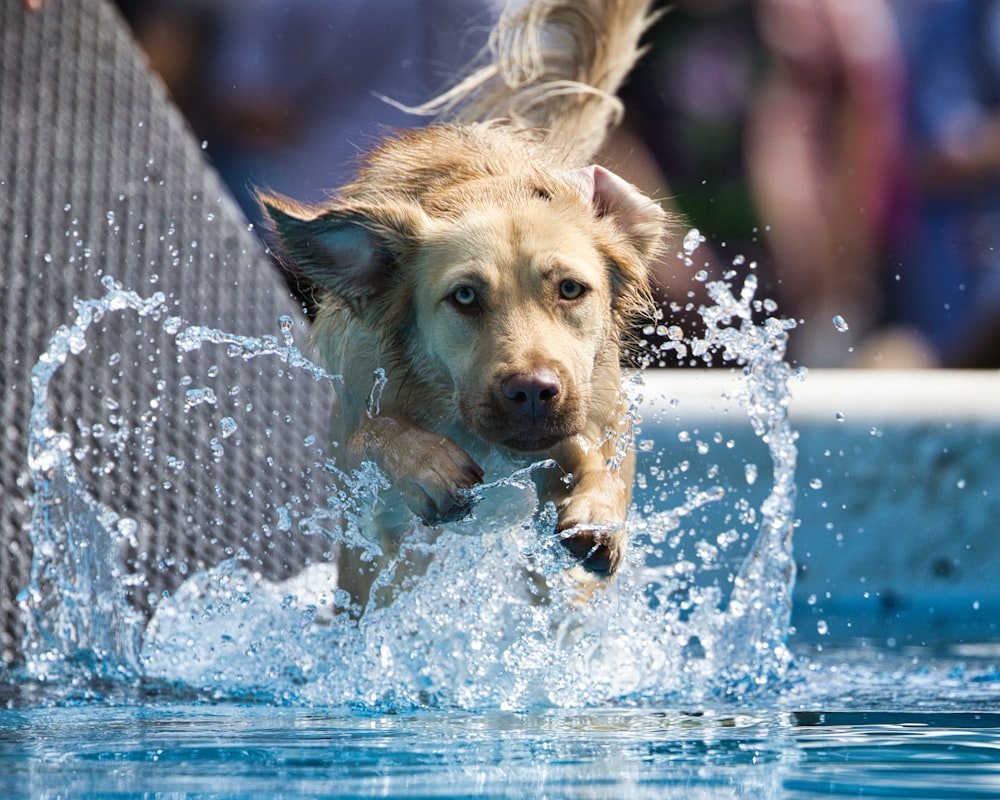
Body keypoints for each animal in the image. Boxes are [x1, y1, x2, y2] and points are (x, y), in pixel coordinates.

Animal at [258, 0, 668, 612]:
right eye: (466, 296)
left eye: (571, 289)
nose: (533, 392)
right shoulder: (361, 471)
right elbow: (373, 434)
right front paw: (428, 464)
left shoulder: (597, 411)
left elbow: (595, 456)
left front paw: (595, 505)